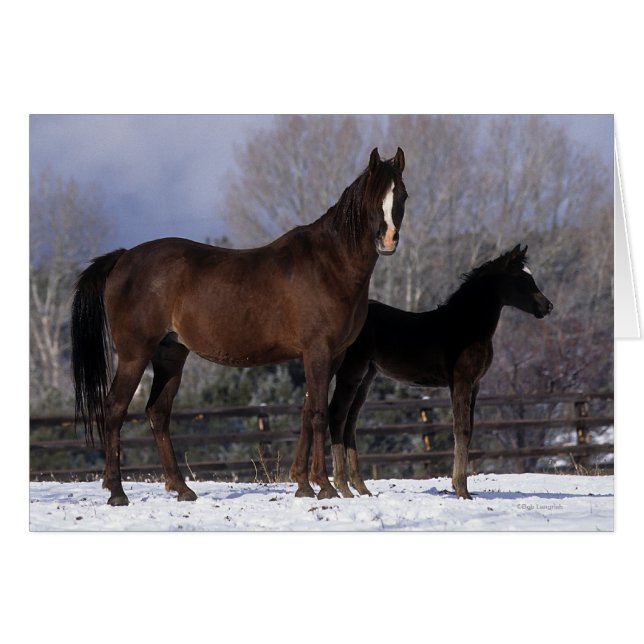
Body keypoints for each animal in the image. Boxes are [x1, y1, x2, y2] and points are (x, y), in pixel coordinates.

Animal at [71, 147, 407, 505]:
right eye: (373, 197)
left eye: (401, 194)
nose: (388, 240)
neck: (329, 264)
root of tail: (123, 258)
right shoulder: (318, 351)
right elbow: (318, 412)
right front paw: (324, 486)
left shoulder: (333, 355)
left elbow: (306, 413)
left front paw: (302, 485)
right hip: (135, 354)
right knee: (115, 409)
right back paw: (117, 492)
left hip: (171, 354)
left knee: (158, 413)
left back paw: (182, 488)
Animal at [328, 244, 553, 499]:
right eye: (521, 278)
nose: (547, 306)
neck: (467, 326)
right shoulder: (461, 381)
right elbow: (461, 429)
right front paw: (462, 490)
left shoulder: (475, 385)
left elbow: (469, 431)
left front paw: (461, 487)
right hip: (351, 371)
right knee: (337, 415)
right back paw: (343, 487)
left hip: (367, 376)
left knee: (350, 422)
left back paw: (361, 488)